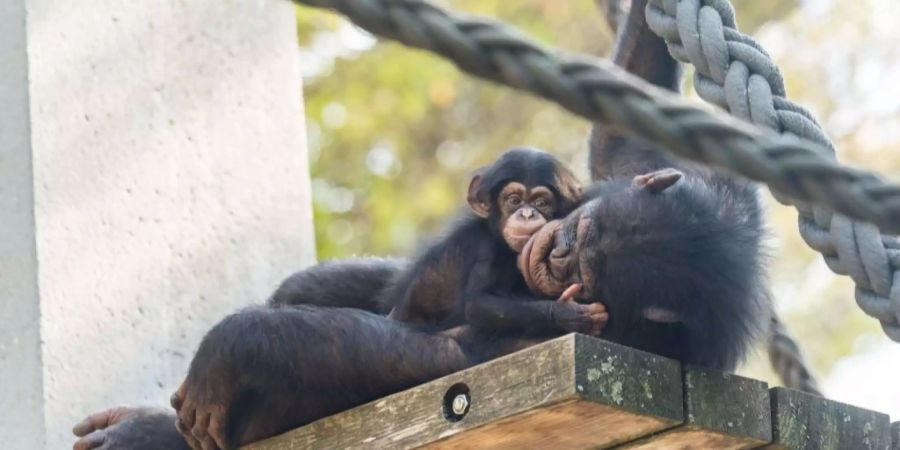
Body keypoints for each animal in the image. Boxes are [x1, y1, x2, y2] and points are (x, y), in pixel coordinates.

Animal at [74, 1, 768, 448]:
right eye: (581, 232)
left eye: (585, 269)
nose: (554, 249)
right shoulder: (695, 184)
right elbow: (619, 140)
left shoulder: (554, 347)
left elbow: (430, 351)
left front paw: (228, 347)